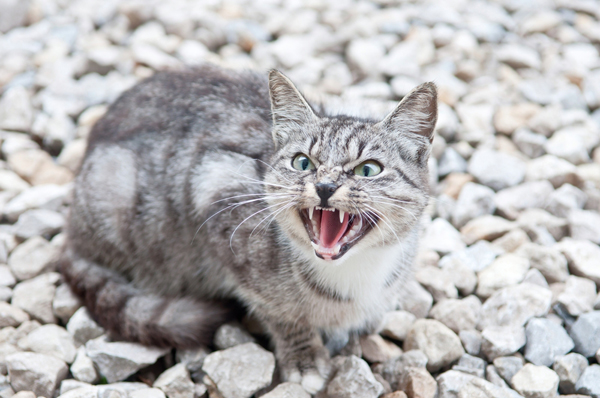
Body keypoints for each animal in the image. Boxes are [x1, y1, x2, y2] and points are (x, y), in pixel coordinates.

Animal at [59, 63, 436, 394]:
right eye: (303, 163)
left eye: (368, 169)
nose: (325, 186)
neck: (355, 272)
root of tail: (71, 235)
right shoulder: (219, 196)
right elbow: (281, 312)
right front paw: (304, 357)